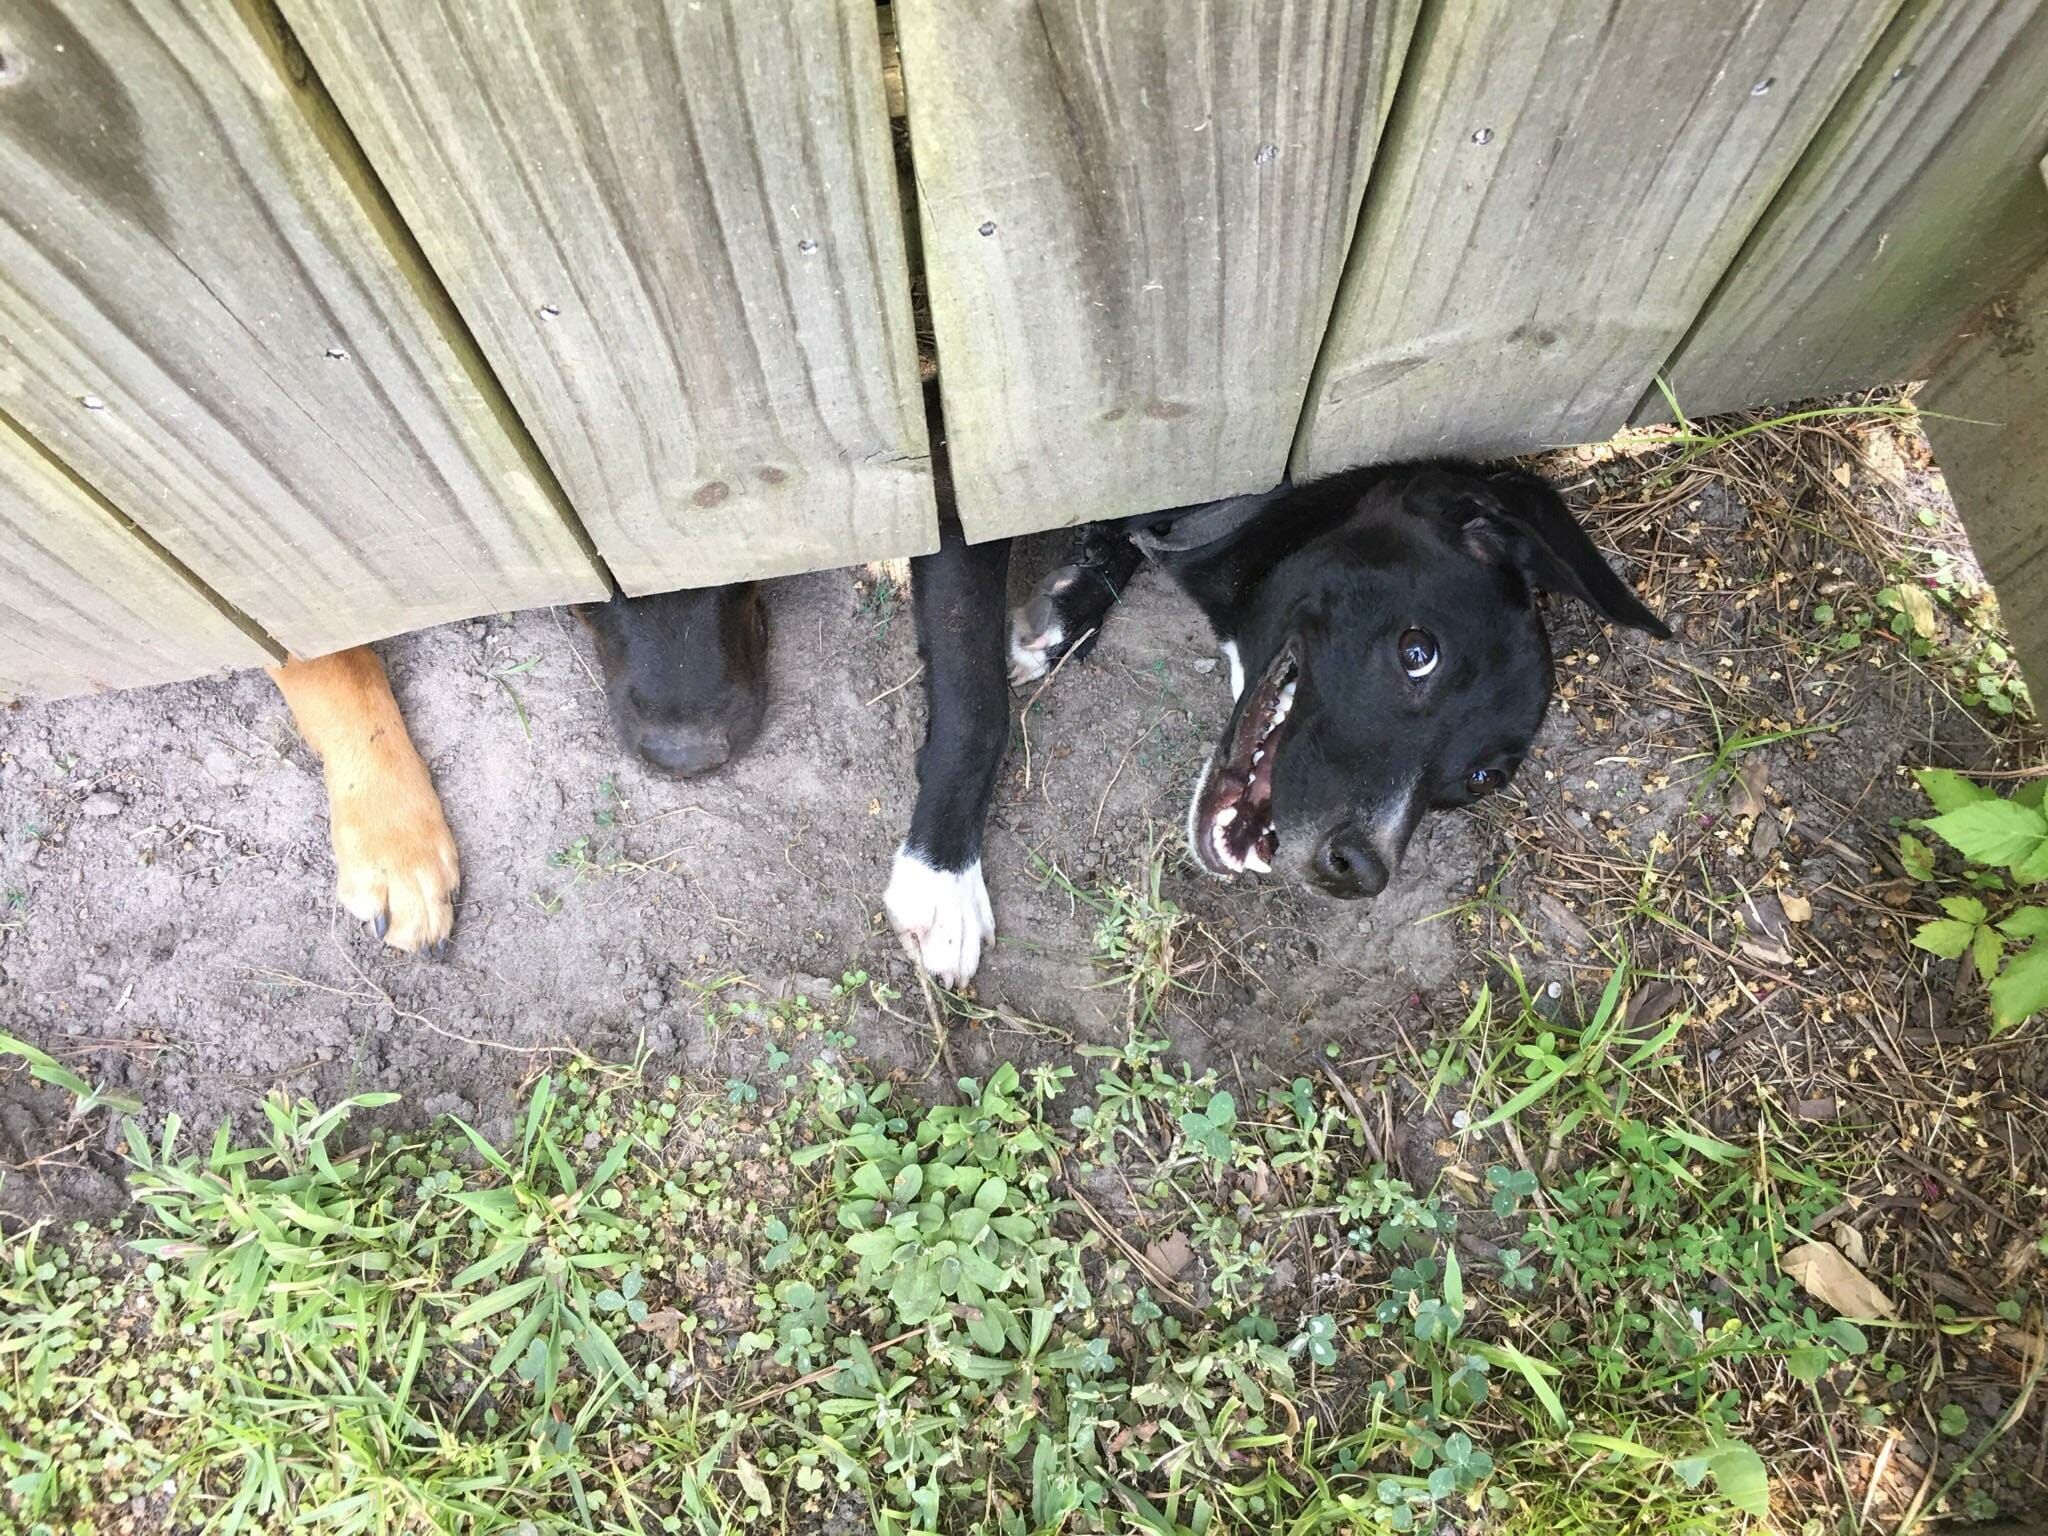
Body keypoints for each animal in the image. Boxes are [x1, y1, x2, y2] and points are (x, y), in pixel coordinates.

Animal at [880, 462, 1662, 987]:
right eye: (1417, 652)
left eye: (1483, 778)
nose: (1359, 872)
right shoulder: (955, 498)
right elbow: (978, 706)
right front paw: (942, 877)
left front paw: (1073, 607)